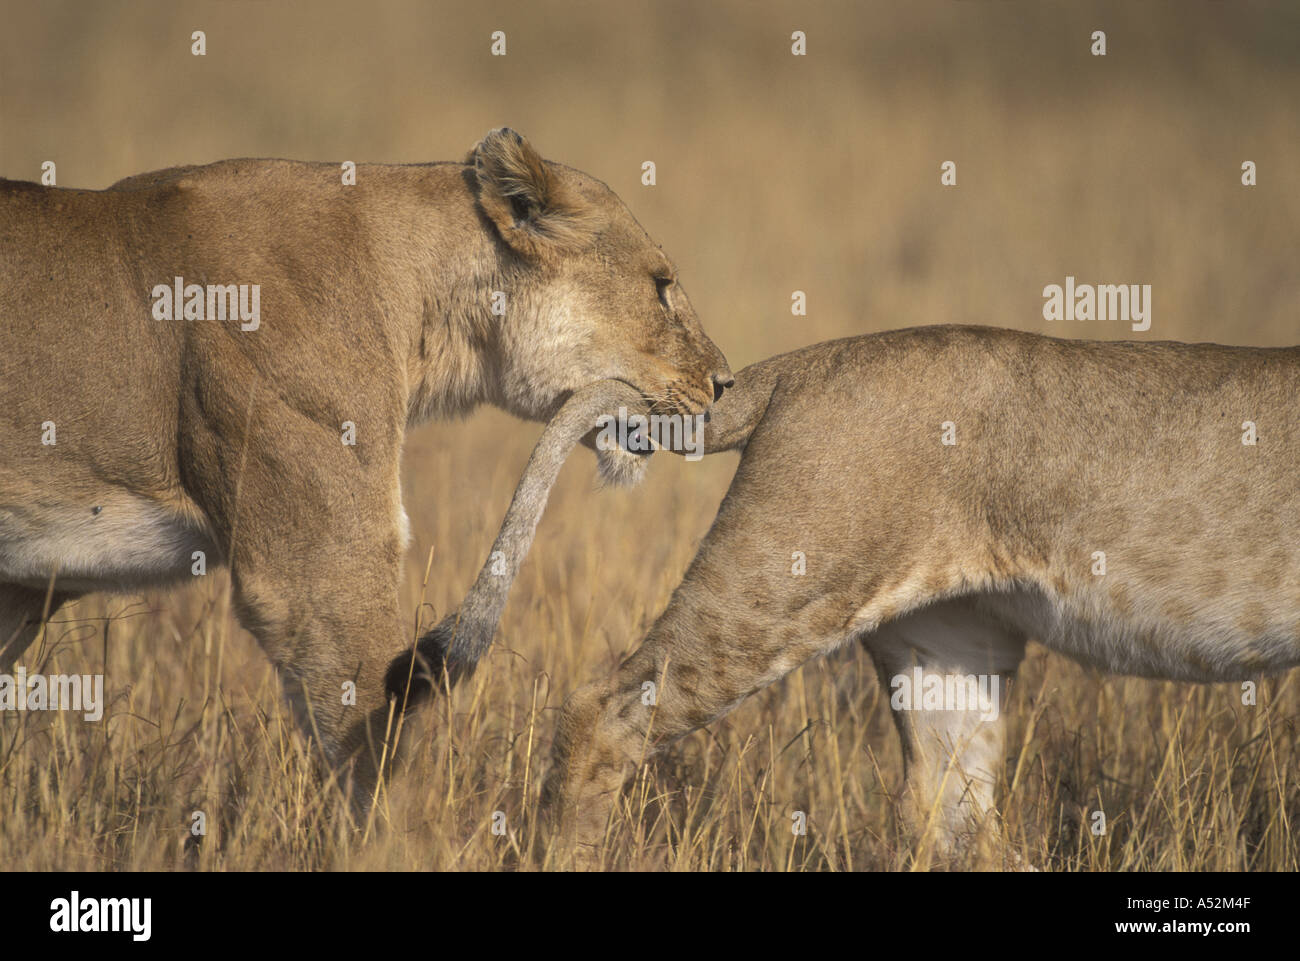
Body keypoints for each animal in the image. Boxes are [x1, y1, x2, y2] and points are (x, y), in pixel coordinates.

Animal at [0, 128, 731, 807]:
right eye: (661, 286)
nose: (724, 384)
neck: (419, 306)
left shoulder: (23, 583)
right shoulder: (318, 573)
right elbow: (390, 772)